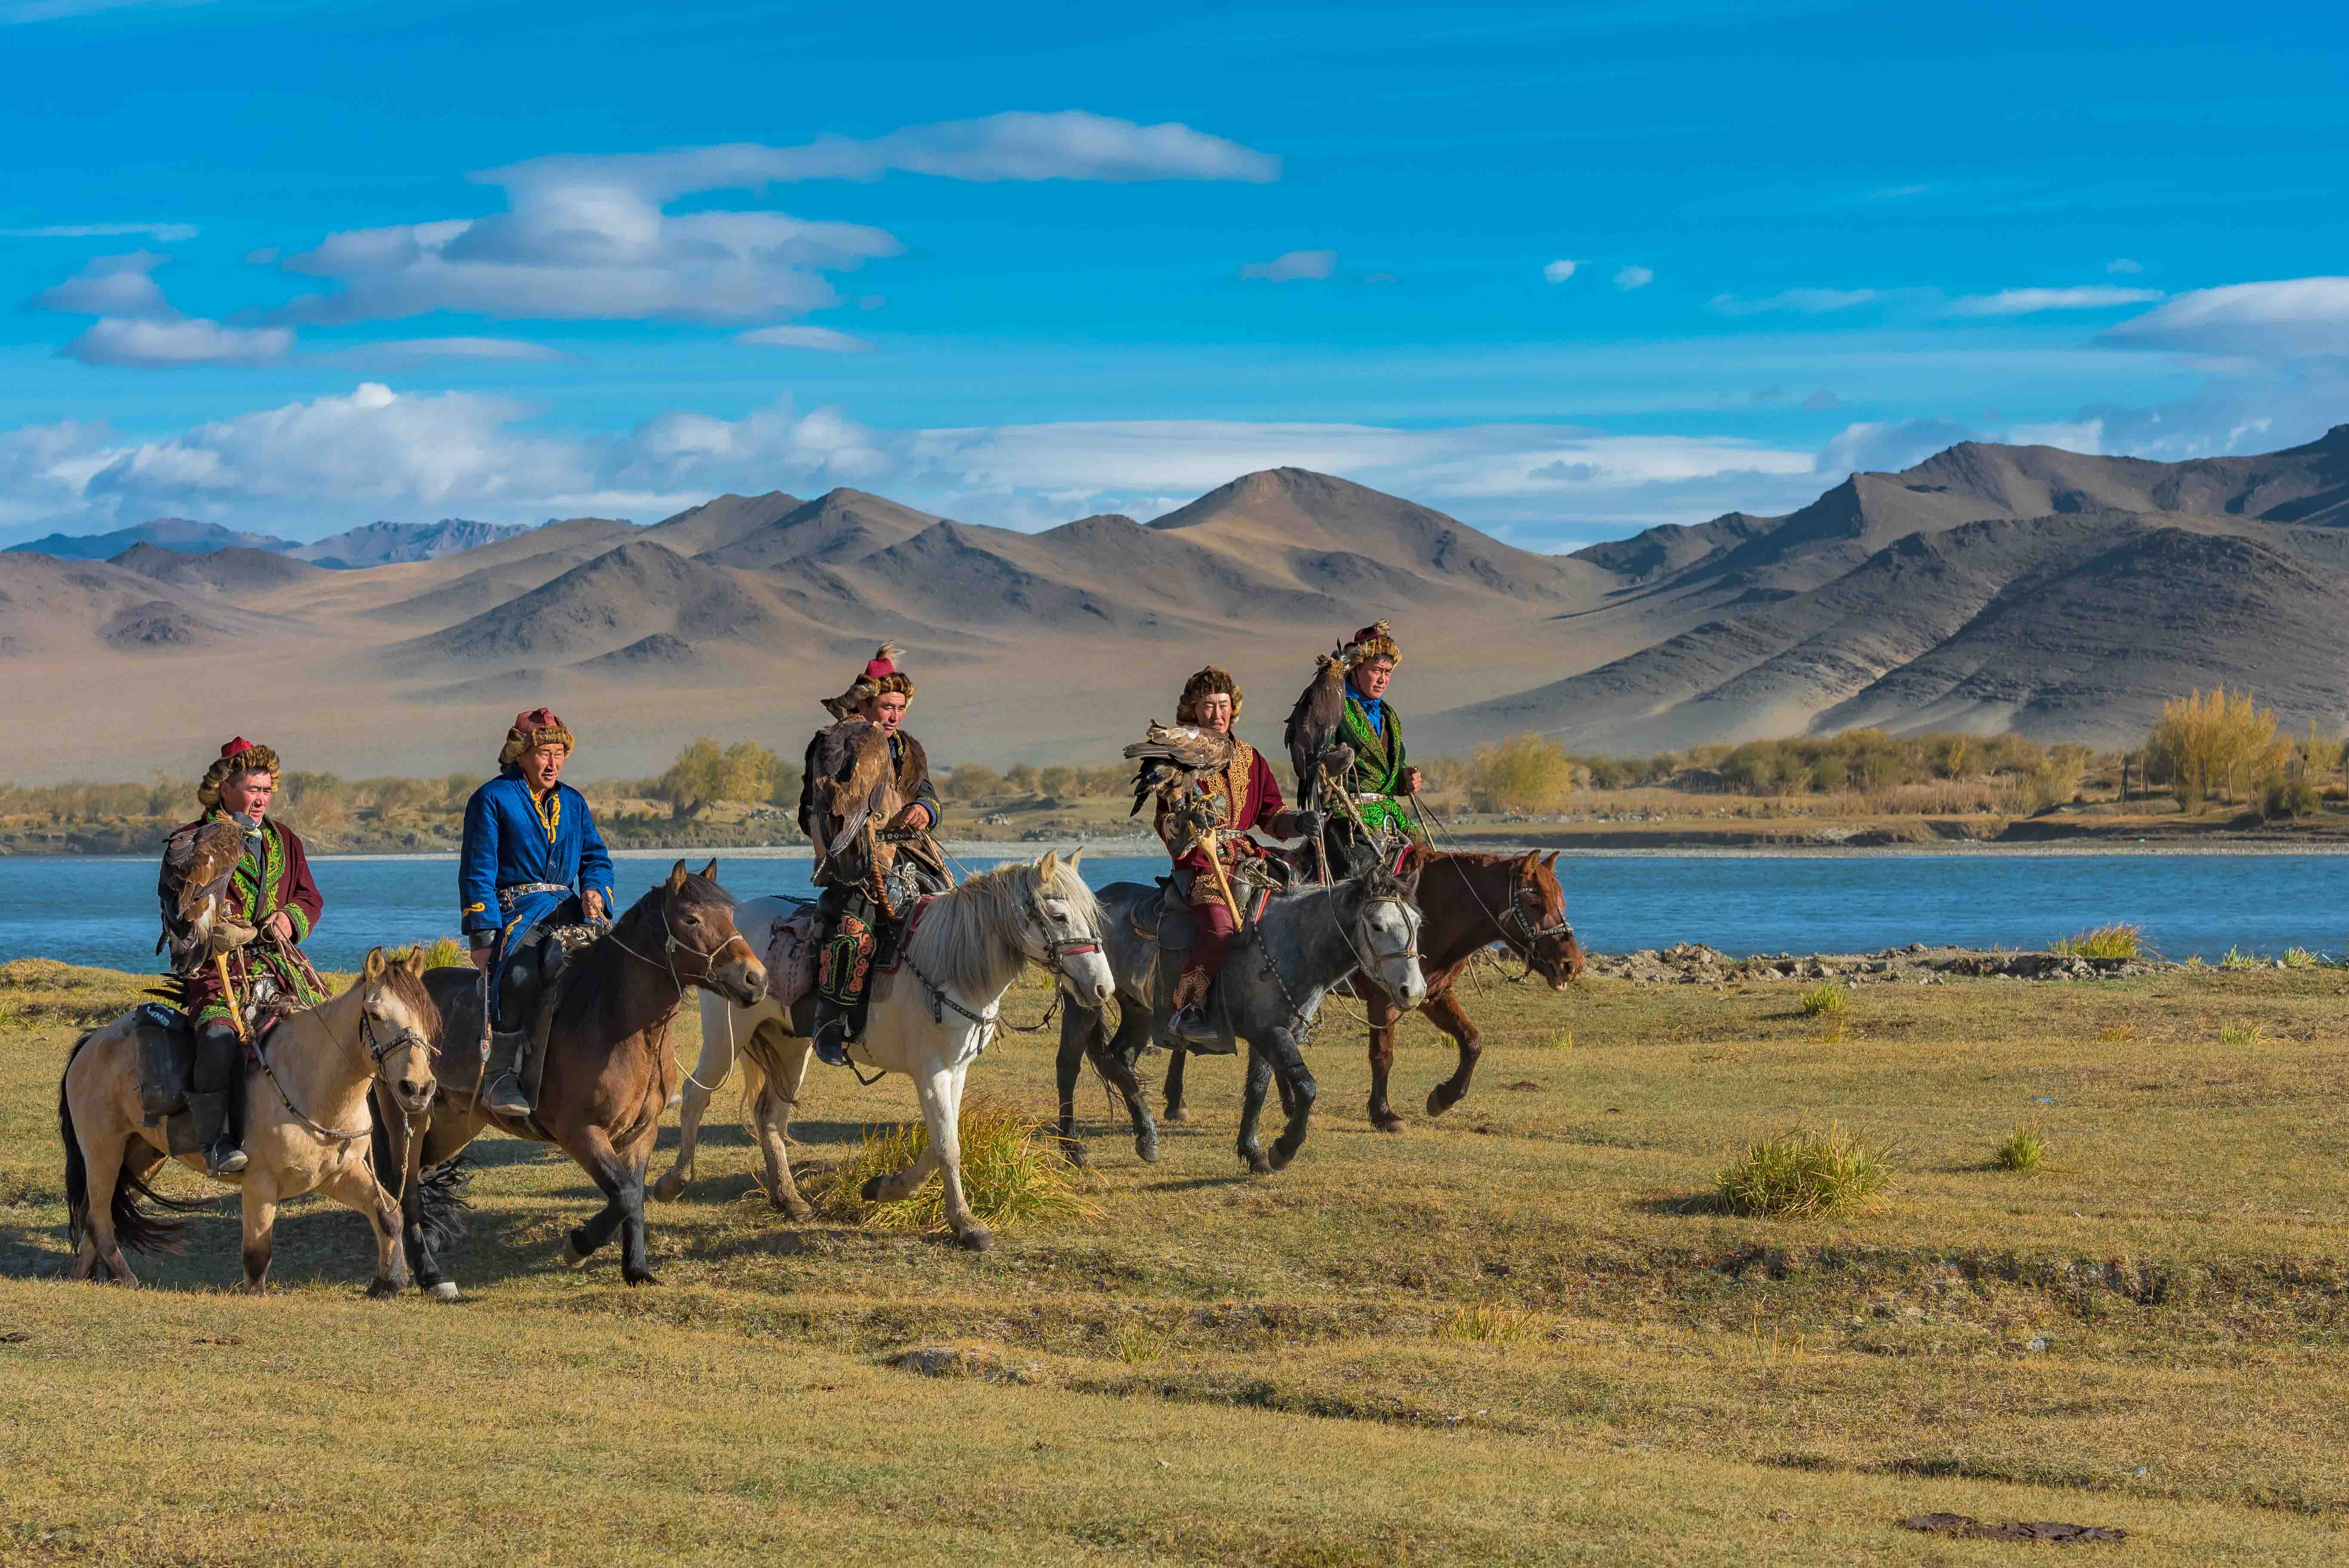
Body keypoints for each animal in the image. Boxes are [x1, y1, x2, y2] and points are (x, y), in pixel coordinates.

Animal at [58, 948, 444, 1295]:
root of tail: (91, 1042)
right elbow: (257, 1255)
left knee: (97, 1213)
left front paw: (388, 1283)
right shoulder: (260, 1182)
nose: (418, 1088)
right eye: (375, 1014)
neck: (313, 1082)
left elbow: (388, 1215)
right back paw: (126, 1279)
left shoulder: (337, 1174)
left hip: (141, 1155)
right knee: (98, 1218)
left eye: (427, 1016)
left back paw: (87, 1276)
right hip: (103, 1151)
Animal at [371, 864, 766, 1295]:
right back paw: (430, 1275)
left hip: (455, 1122)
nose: (756, 980)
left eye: (729, 916)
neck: (614, 1022)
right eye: (692, 919)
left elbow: (634, 1197)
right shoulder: (580, 1132)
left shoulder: (642, 1133)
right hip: (407, 1116)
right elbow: (625, 1194)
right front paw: (578, 1246)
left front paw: (637, 1270)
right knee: (405, 1190)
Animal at [648, 849, 1113, 1258]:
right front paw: (967, 1226)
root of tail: (735, 919)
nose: (1102, 988)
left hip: (791, 1044)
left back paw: (789, 1199)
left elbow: (942, 1142)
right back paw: (673, 1182)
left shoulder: (955, 1071)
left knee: (770, 1115)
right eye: (1058, 916)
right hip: (725, 1038)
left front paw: (883, 1188)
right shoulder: (931, 1072)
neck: (951, 963)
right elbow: (948, 1147)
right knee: (696, 1097)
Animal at [1057, 849, 1419, 1169]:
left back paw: (1147, 1137)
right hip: (1083, 1000)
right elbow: (1307, 1087)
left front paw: (1252, 1152)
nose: (1412, 991)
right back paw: (1073, 1150)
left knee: (1120, 1059)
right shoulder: (1272, 1033)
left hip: (1140, 1010)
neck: (1295, 943)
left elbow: (1257, 1089)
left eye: (1416, 922)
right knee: (1069, 1066)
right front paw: (1284, 1149)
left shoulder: (1272, 1034)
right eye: (1377, 925)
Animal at [1165, 849, 1588, 1131]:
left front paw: (1443, 1098)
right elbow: (1382, 1055)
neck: (1438, 906)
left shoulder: (1431, 995)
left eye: (1561, 899)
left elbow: (1472, 1041)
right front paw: (1384, 1113)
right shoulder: (1385, 999)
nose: (1572, 963)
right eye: (1534, 902)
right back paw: (1176, 1100)